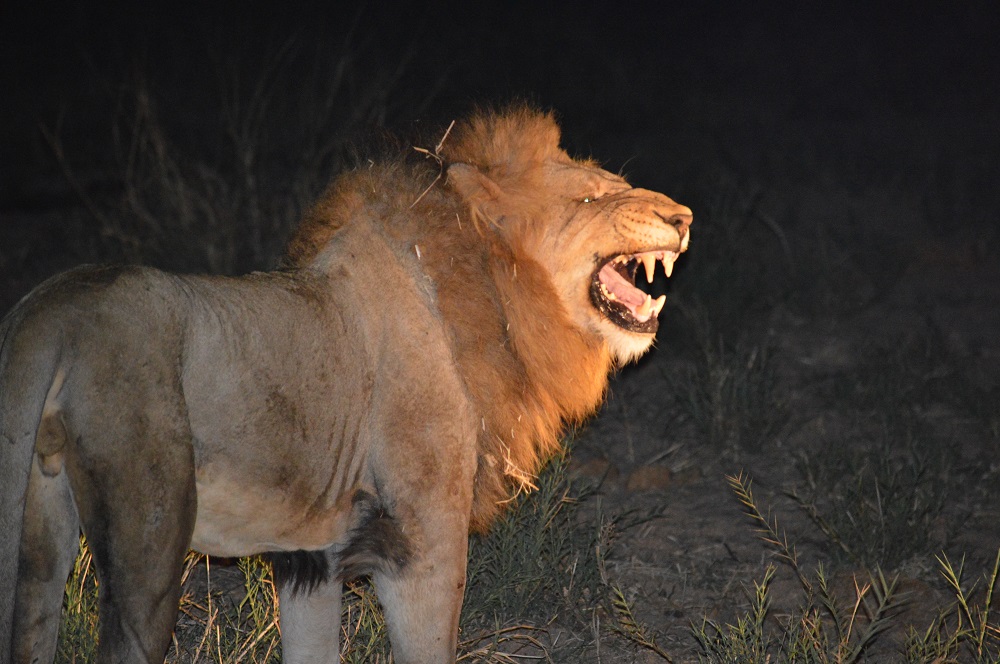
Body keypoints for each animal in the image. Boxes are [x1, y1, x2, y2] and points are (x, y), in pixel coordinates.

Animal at [0, 106, 691, 664]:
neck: (489, 296)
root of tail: (50, 309)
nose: (682, 216)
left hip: (40, 539)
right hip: (150, 537)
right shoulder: (425, 546)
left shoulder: (312, 560)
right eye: (589, 201)